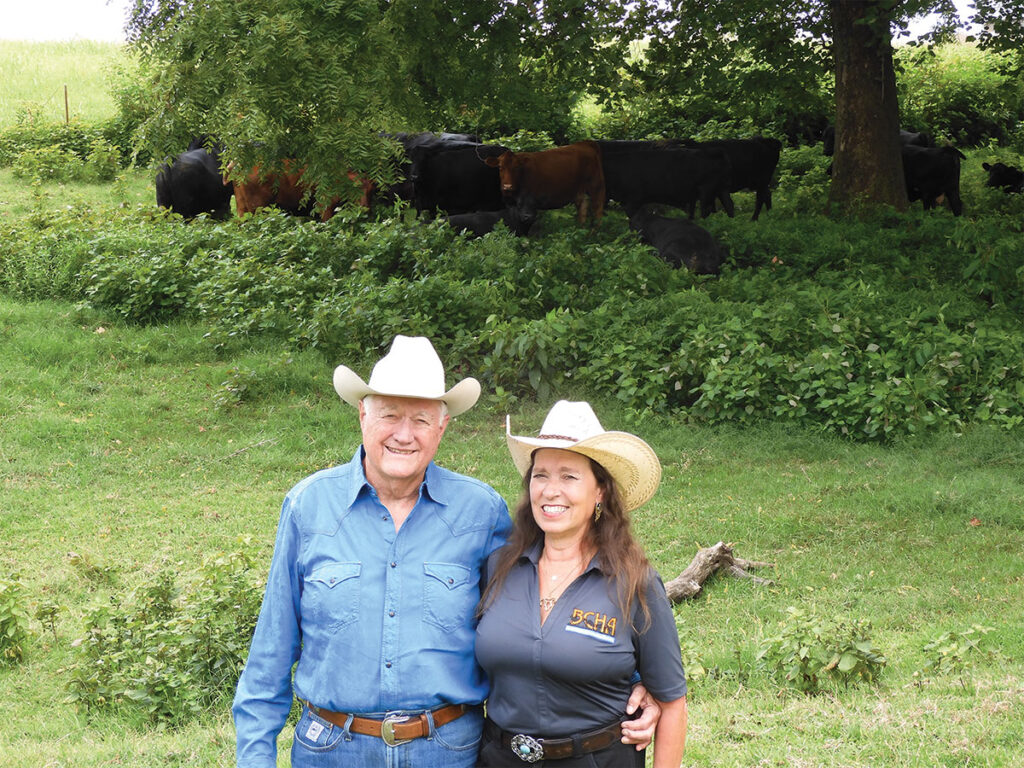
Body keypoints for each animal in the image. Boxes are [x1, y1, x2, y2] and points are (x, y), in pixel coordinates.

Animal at [230, 160, 374, 221]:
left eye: (372, 190)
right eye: (354, 188)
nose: (365, 208)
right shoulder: (325, 207)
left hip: (242, 207)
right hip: (258, 208)